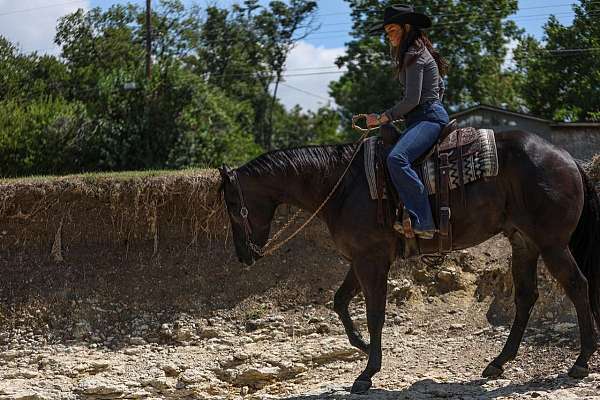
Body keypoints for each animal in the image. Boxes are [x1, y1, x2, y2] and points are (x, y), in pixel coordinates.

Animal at [219, 130, 600, 394]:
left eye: (233, 207)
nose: (244, 255)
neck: (341, 185)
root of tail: (569, 159)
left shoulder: (372, 260)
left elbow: (375, 313)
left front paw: (367, 373)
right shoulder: (360, 258)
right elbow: (340, 301)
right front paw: (361, 346)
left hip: (552, 244)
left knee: (578, 285)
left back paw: (581, 361)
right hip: (524, 243)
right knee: (525, 298)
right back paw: (498, 363)